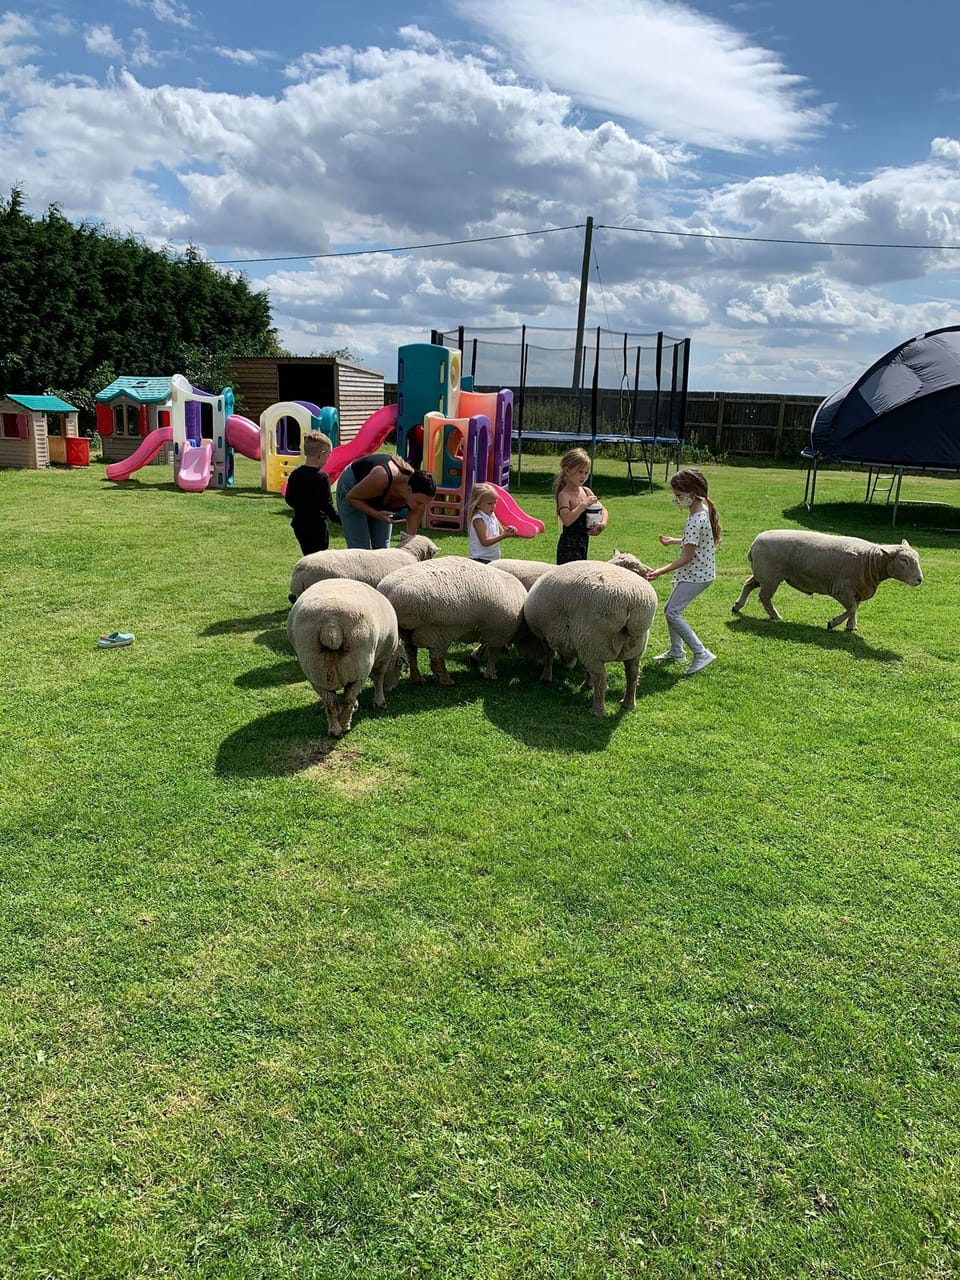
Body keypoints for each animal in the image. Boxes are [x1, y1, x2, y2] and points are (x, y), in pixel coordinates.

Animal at [286, 579, 402, 737]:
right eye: (399, 667)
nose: (392, 688)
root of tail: (331, 626)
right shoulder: (383, 658)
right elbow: (378, 678)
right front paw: (380, 701)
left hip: (315, 668)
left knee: (329, 700)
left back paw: (335, 728)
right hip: (358, 667)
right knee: (349, 699)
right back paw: (345, 725)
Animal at [377, 556, 528, 685]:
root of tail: (389, 593)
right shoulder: (499, 634)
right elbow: (493, 654)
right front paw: (490, 674)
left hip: (410, 632)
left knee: (411, 652)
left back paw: (418, 678)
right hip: (438, 632)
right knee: (436, 659)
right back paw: (446, 681)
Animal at [522, 553, 657, 716]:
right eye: (635, 566)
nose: (651, 572)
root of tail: (632, 600)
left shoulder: (547, 636)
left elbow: (549, 656)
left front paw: (546, 678)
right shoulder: (574, 643)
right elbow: (577, 666)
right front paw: (587, 685)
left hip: (592, 644)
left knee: (600, 677)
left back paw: (597, 711)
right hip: (634, 647)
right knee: (632, 674)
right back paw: (628, 704)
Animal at [731, 530, 923, 631]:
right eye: (904, 560)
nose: (919, 579)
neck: (870, 560)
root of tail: (754, 543)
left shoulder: (857, 590)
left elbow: (855, 608)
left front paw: (851, 626)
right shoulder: (841, 589)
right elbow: (852, 608)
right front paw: (833, 623)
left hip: (763, 574)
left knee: (748, 584)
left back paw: (737, 606)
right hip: (770, 576)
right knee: (764, 597)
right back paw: (775, 616)